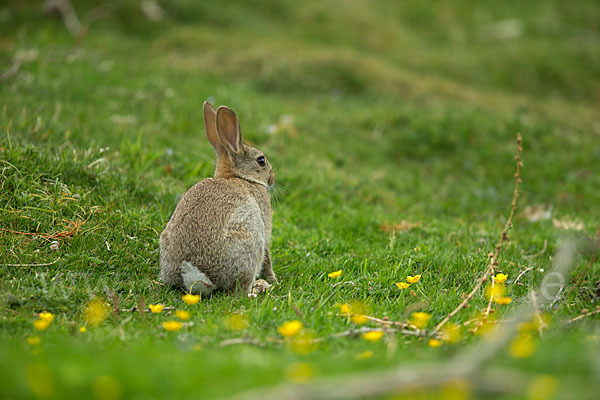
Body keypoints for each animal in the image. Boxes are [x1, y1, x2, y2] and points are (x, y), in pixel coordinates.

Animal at [162, 102, 278, 296]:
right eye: (261, 160)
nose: (272, 178)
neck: (239, 177)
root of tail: (196, 274)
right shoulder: (264, 227)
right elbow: (268, 256)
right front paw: (273, 279)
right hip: (250, 245)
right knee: (240, 291)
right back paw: (259, 288)